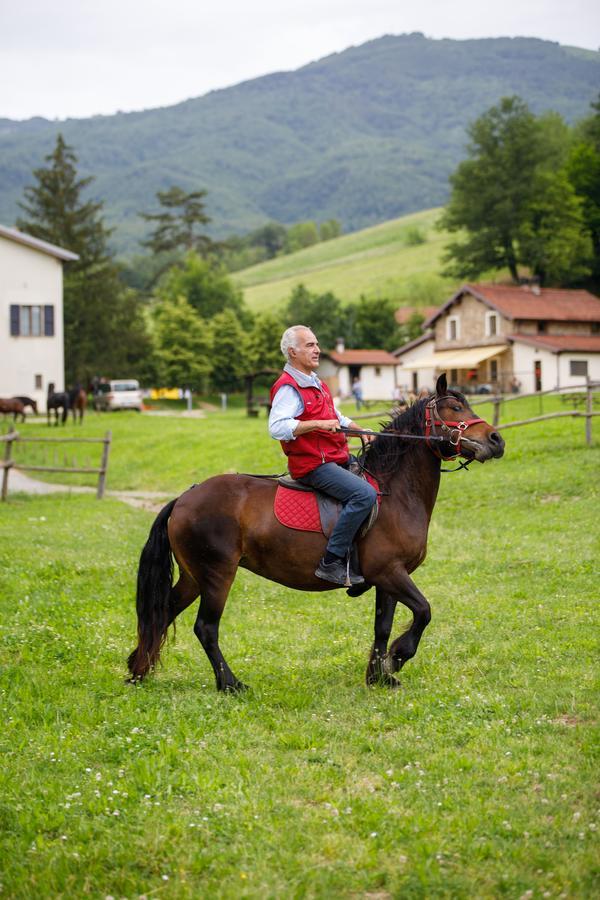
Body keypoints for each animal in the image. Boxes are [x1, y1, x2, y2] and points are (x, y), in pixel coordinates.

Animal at [129, 376, 504, 692]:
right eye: (453, 408)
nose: (496, 440)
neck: (394, 492)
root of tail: (184, 498)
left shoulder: (387, 578)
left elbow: (382, 626)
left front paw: (379, 677)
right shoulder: (390, 573)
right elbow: (424, 611)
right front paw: (397, 658)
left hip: (194, 577)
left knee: (161, 613)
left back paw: (138, 670)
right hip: (217, 575)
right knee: (205, 628)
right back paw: (230, 684)